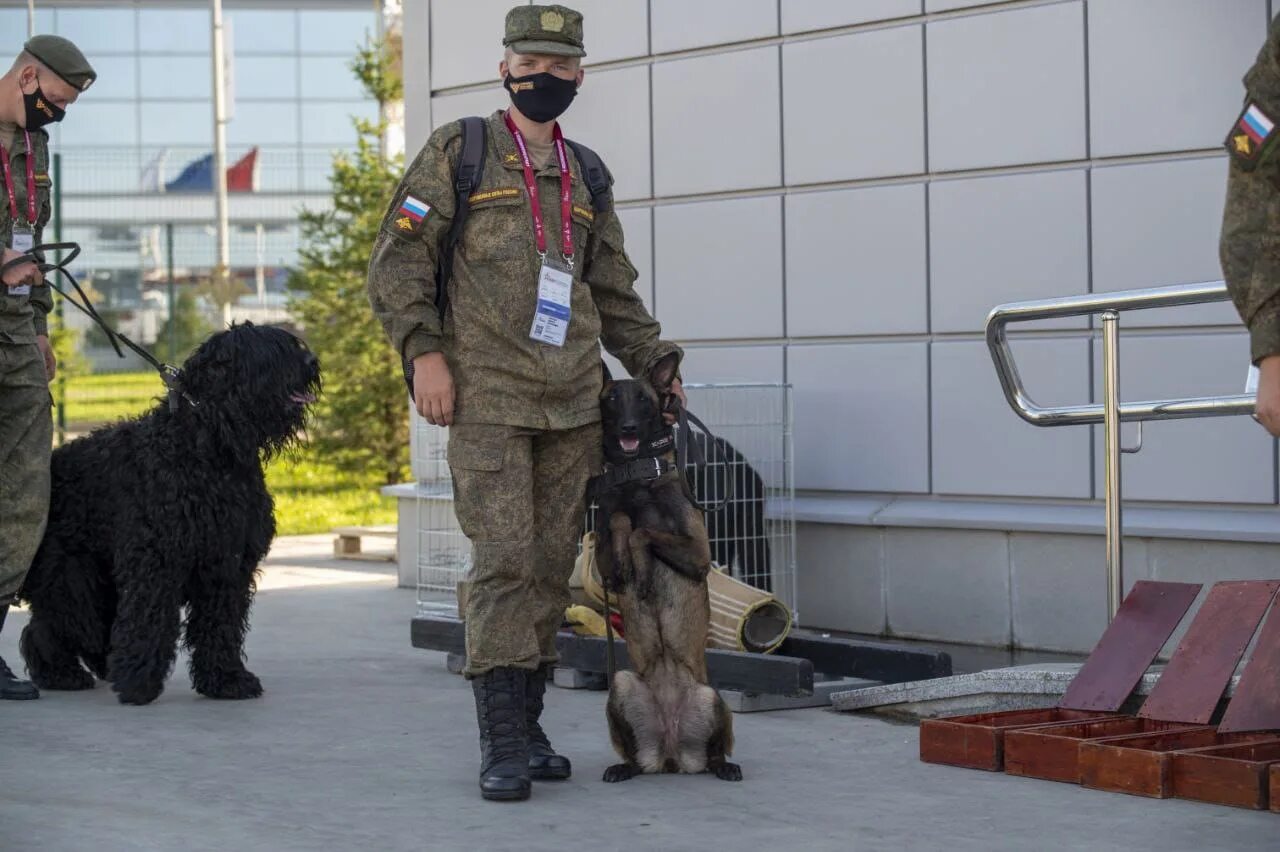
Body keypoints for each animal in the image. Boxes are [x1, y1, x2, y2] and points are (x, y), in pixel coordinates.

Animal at [17, 322, 320, 701]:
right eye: (270, 352)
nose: (312, 362)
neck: (207, 448)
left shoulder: (227, 563)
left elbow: (221, 624)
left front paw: (226, 678)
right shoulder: (158, 559)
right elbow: (149, 619)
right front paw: (138, 683)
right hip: (72, 575)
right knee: (54, 625)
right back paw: (62, 673)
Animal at [588, 353, 742, 782]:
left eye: (643, 399)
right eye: (611, 399)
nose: (628, 427)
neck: (639, 478)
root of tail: (672, 755)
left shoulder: (699, 556)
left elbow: (643, 532)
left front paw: (641, 571)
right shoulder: (605, 563)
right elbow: (622, 521)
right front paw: (631, 565)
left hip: (710, 696)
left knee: (715, 754)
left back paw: (725, 767)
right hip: (622, 684)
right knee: (634, 757)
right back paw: (623, 769)